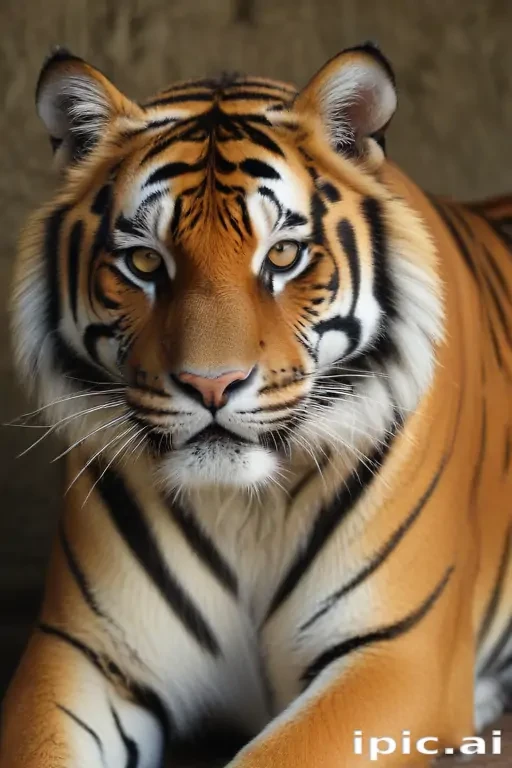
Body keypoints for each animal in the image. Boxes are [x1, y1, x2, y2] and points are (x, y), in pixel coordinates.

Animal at [1, 40, 511, 767]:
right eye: (144, 263)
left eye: (285, 255)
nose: (211, 385)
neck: (246, 510)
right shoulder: (85, 652)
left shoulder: (395, 653)